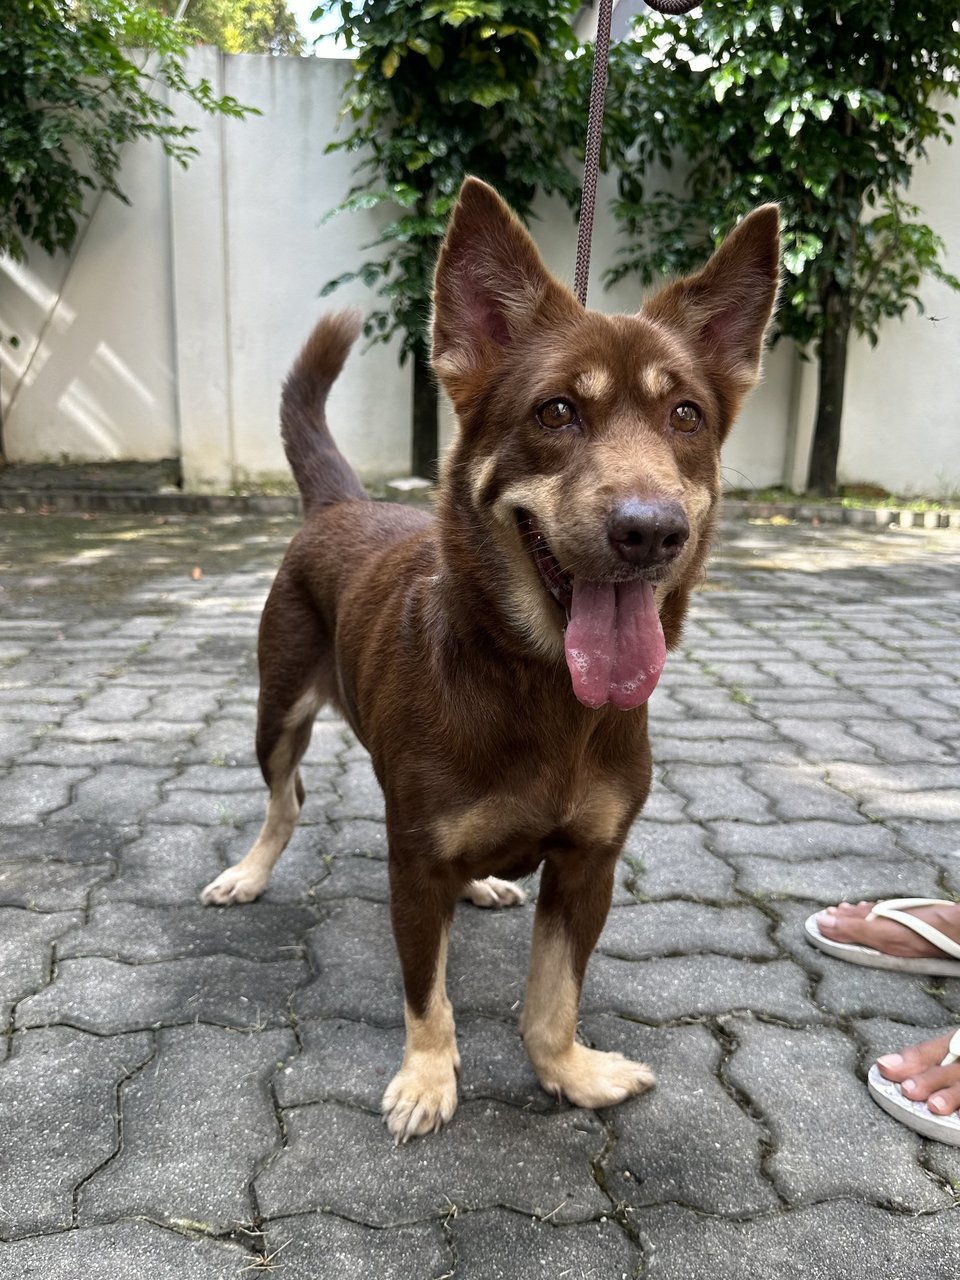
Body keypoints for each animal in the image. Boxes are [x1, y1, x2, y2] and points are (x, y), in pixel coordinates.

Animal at [203, 177, 783, 1141]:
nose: (651, 531)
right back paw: (250, 872)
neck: (542, 687)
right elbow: (425, 993)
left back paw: (479, 889)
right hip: (275, 708)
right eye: (556, 411)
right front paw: (428, 1077)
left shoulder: (590, 863)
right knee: (284, 801)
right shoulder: (414, 859)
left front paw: (569, 1072)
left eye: (686, 416)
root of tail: (341, 503)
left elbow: (552, 996)